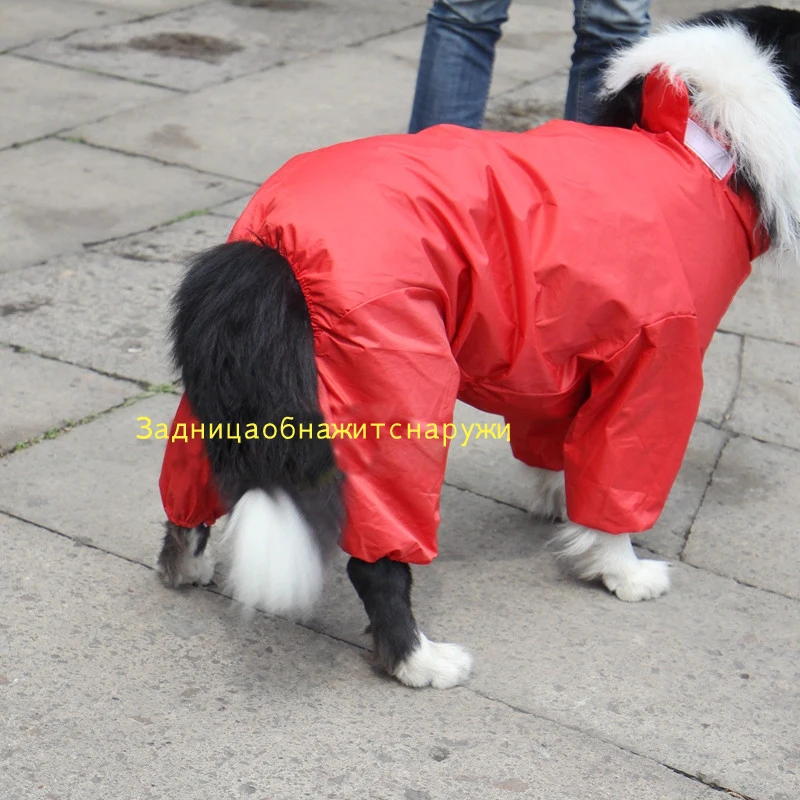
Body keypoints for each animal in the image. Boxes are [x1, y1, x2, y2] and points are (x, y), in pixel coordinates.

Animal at [155, 7, 800, 688]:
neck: (700, 143)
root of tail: (271, 250)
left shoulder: (561, 353)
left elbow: (559, 447)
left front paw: (562, 509)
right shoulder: (655, 363)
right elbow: (618, 483)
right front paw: (621, 570)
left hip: (231, 391)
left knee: (189, 494)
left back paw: (186, 566)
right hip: (393, 388)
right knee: (376, 558)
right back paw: (421, 660)